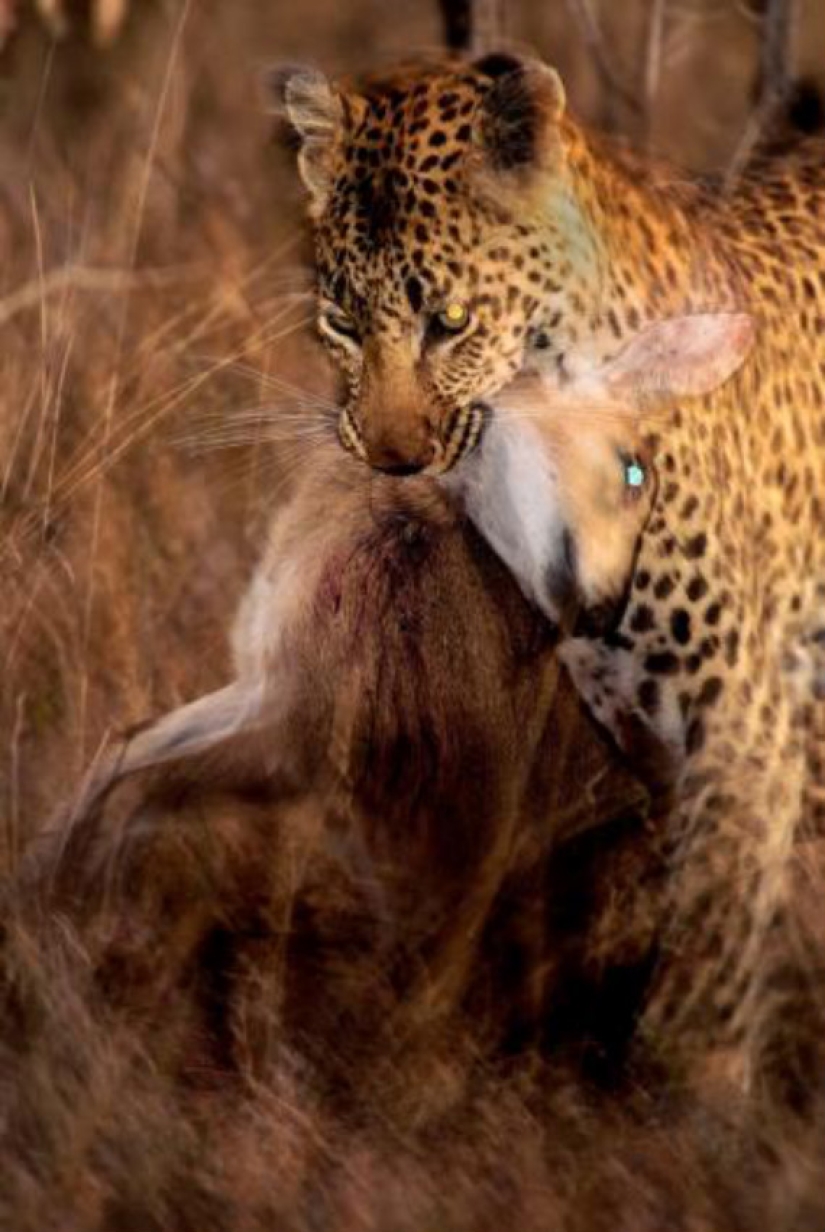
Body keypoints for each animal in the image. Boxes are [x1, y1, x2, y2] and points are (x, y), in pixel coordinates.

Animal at [274, 48, 825, 1098]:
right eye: (341, 321)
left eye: (450, 319)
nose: (392, 459)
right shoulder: (640, 717)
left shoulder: (740, 712)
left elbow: (707, 956)